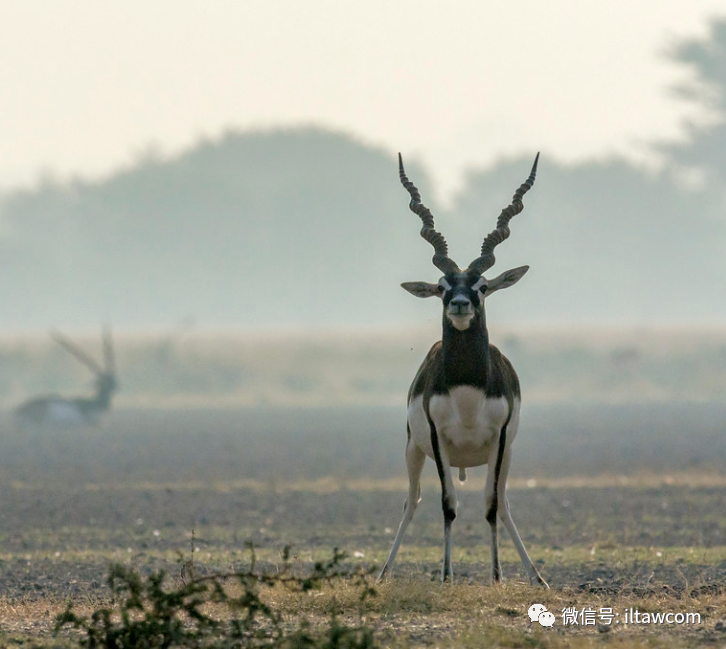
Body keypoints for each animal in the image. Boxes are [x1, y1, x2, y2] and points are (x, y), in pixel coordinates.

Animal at [382, 153, 544, 588]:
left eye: (483, 286)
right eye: (441, 286)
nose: (459, 303)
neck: (468, 392)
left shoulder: (501, 439)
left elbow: (490, 506)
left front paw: (497, 576)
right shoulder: (437, 439)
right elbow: (447, 504)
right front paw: (446, 575)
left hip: (504, 455)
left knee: (503, 503)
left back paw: (537, 577)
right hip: (413, 449)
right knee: (411, 501)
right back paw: (384, 572)